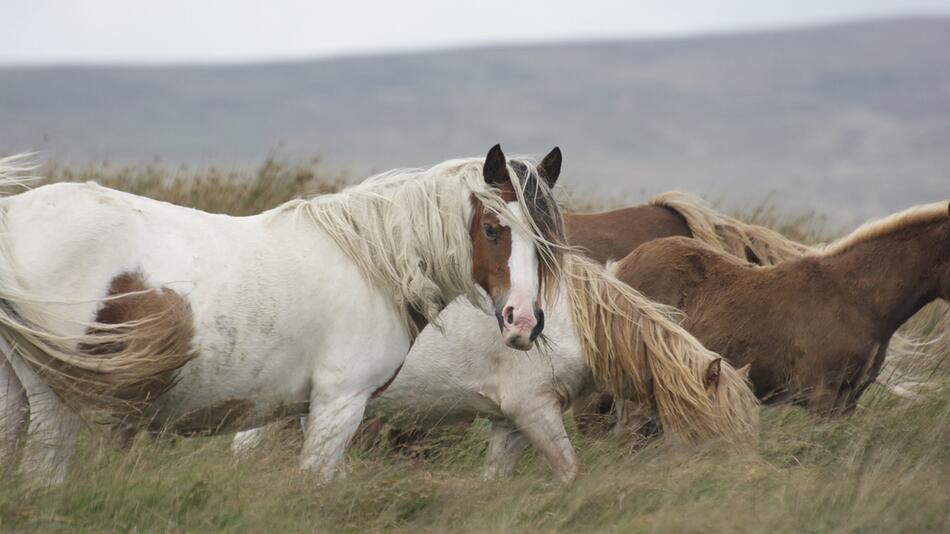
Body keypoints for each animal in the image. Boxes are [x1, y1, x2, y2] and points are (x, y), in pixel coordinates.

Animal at [0, 146, 564, 486]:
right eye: (492, 229)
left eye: (547, 238)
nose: (522, 322)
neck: (372, 262)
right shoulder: (340, 403)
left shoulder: (320, 408)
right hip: (56, 399)